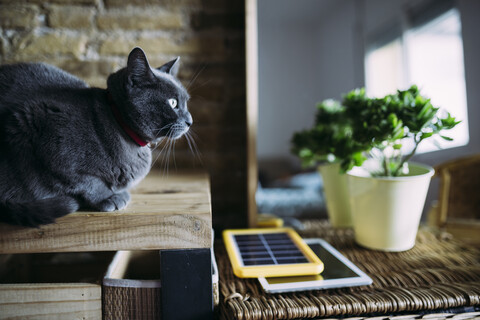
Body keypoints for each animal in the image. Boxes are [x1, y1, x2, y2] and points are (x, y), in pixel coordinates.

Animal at [0, 47, 191, 228]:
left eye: (186, 102)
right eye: (173, 102)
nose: (190, 121)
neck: (119, 125)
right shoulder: (42, 127)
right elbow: (86, 180)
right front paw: (110, 197)